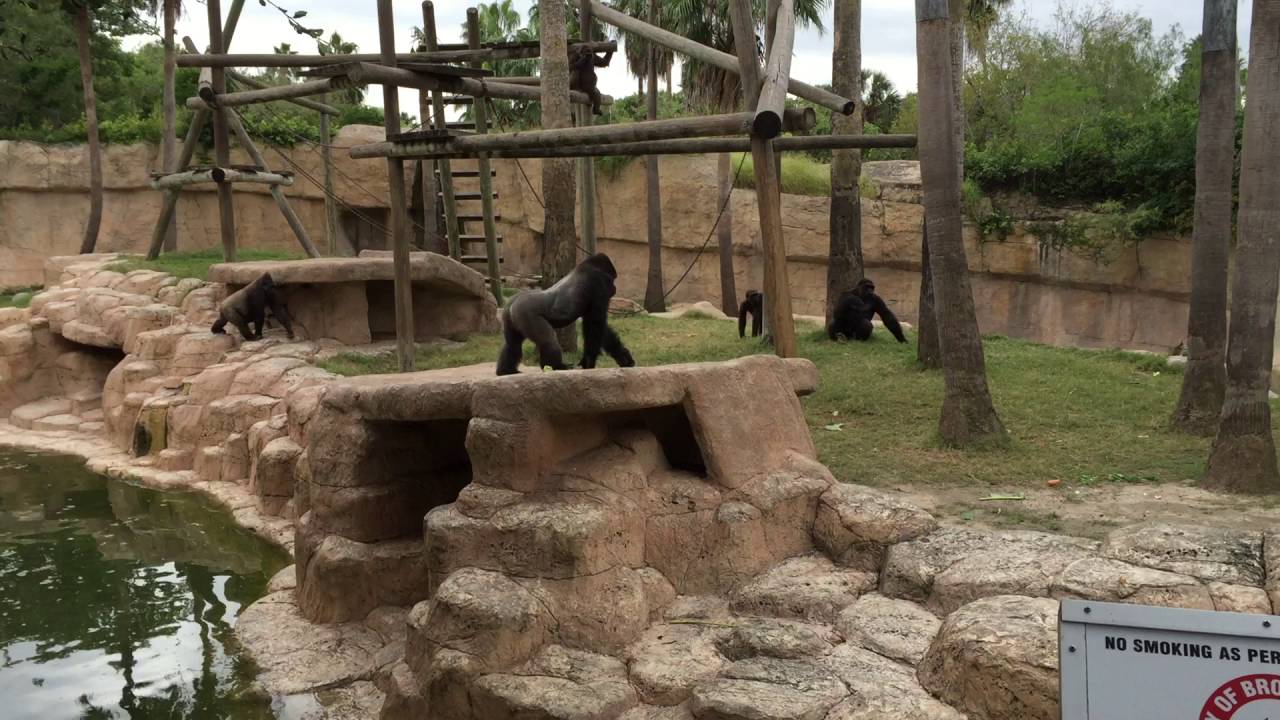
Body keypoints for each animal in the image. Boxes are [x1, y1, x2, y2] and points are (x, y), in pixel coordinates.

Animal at [496, 253, 635, 375]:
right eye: (613, 279)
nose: (615, 288)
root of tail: (512, 304)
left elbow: (601, 328)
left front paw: (623, 357)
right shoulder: (599, 284)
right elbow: (595, 323)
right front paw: (589, 361)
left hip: (509, 317)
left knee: (513, 345)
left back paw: (506, 370)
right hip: (527, 314)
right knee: (549, 342)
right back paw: (556, 367)